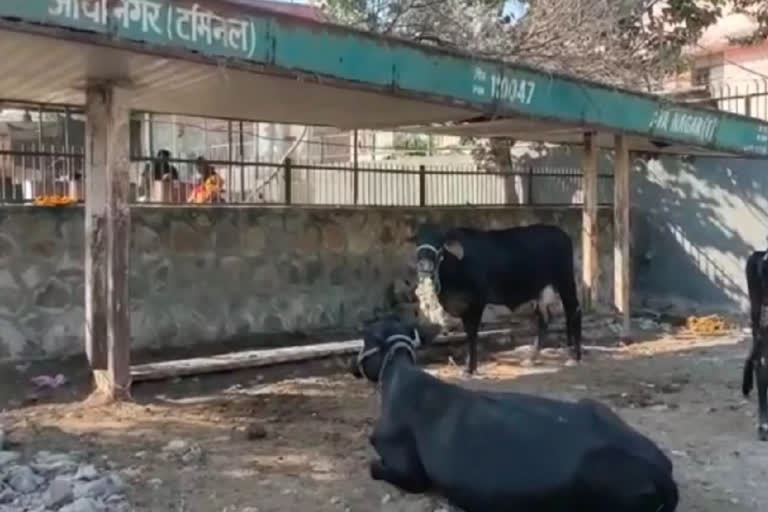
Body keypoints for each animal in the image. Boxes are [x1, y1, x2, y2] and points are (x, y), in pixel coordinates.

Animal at [350, 318, 680, 510]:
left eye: (364, 338)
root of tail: (659, 472)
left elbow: (375, 467)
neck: (398, 379)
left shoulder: (409, 471)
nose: (353, 366)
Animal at [414, 224, 584, 376]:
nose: (424, 265)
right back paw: (532, 358)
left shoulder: (477, 302)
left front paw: (470, 369)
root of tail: (562, 234)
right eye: (418, 242)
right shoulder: (464, 307)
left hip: (565, 282)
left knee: (573, 311)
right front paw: (469, 366)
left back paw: (574, 357)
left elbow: (472, 334)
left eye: (439, 243)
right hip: (540, 291)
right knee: (545, 319)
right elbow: (468, 333)